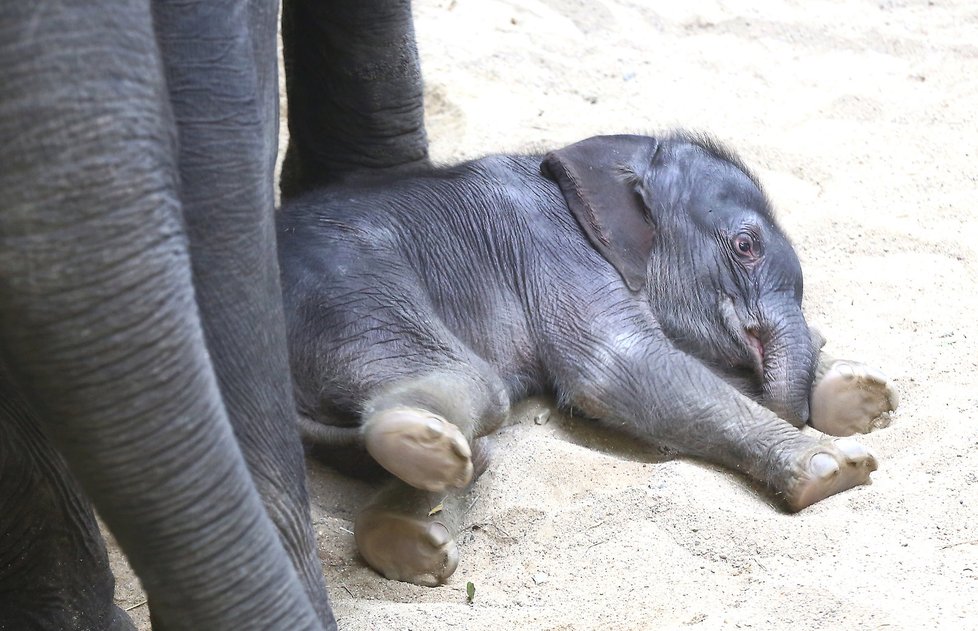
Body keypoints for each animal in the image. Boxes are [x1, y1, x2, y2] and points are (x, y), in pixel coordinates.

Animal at [272, 132, 892, 588]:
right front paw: (834, 468)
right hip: (350, 287)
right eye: (745, 247)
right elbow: (619, 370)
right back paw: (415, 445)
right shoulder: (558, 252)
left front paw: (857, 399)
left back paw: (408, 539)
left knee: (470, 447)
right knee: (478, 394)